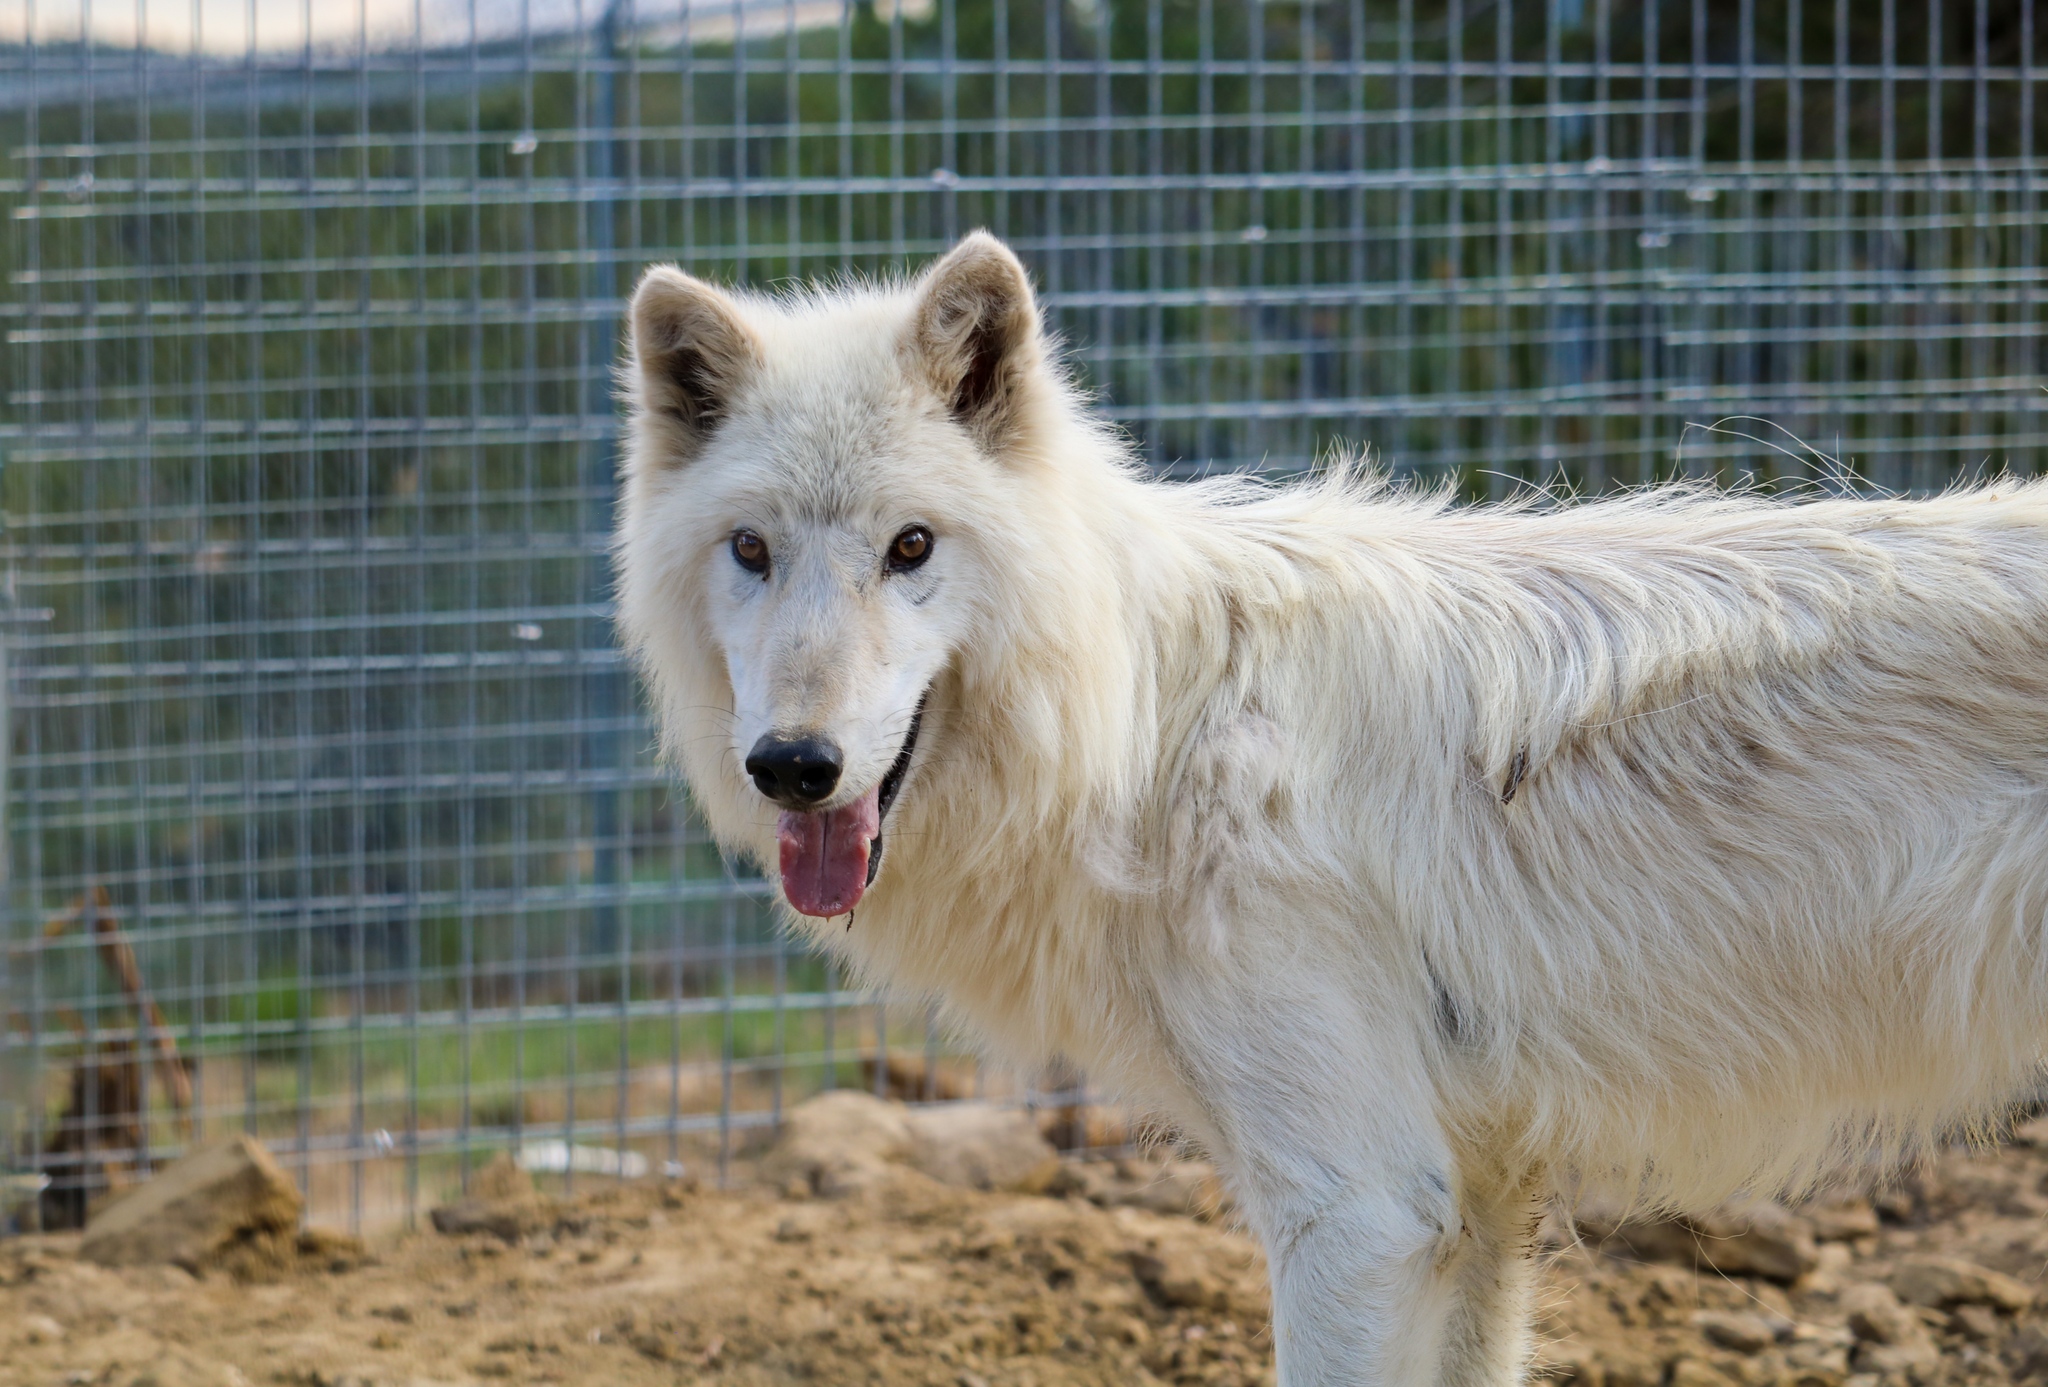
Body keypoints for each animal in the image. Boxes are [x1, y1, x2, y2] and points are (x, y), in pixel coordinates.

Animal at [614, 232, 2048, 1376]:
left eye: (909, 546)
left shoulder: (1355, 1211)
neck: (1149, 731)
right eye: (751, 552)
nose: (794, 763)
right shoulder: (1477, 1199)